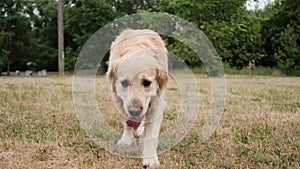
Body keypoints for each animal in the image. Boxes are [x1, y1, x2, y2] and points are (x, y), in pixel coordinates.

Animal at [107, 29, 169, 168]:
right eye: (124, 83)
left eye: (147, 83)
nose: (135, 110)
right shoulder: (119, 101)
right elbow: (127, 123)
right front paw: (126, 140)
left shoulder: (157, 104)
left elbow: (151, 134)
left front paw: (150, 158)